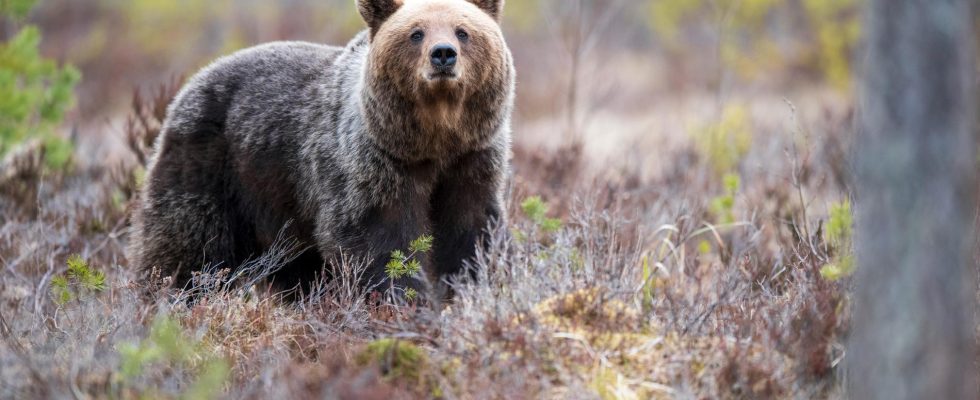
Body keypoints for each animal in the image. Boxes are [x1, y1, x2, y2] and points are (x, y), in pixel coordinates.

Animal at [128, 0, 520, 300]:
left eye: (462, 31)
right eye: (416, 33)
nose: (443, 55)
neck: (434, 141)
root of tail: (193, 81)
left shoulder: (472, 162)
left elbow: (471, 235)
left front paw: (472, 288)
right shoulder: (372, 167)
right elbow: (379, 241)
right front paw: (402, 298)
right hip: (212, 166)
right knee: (190, 247)